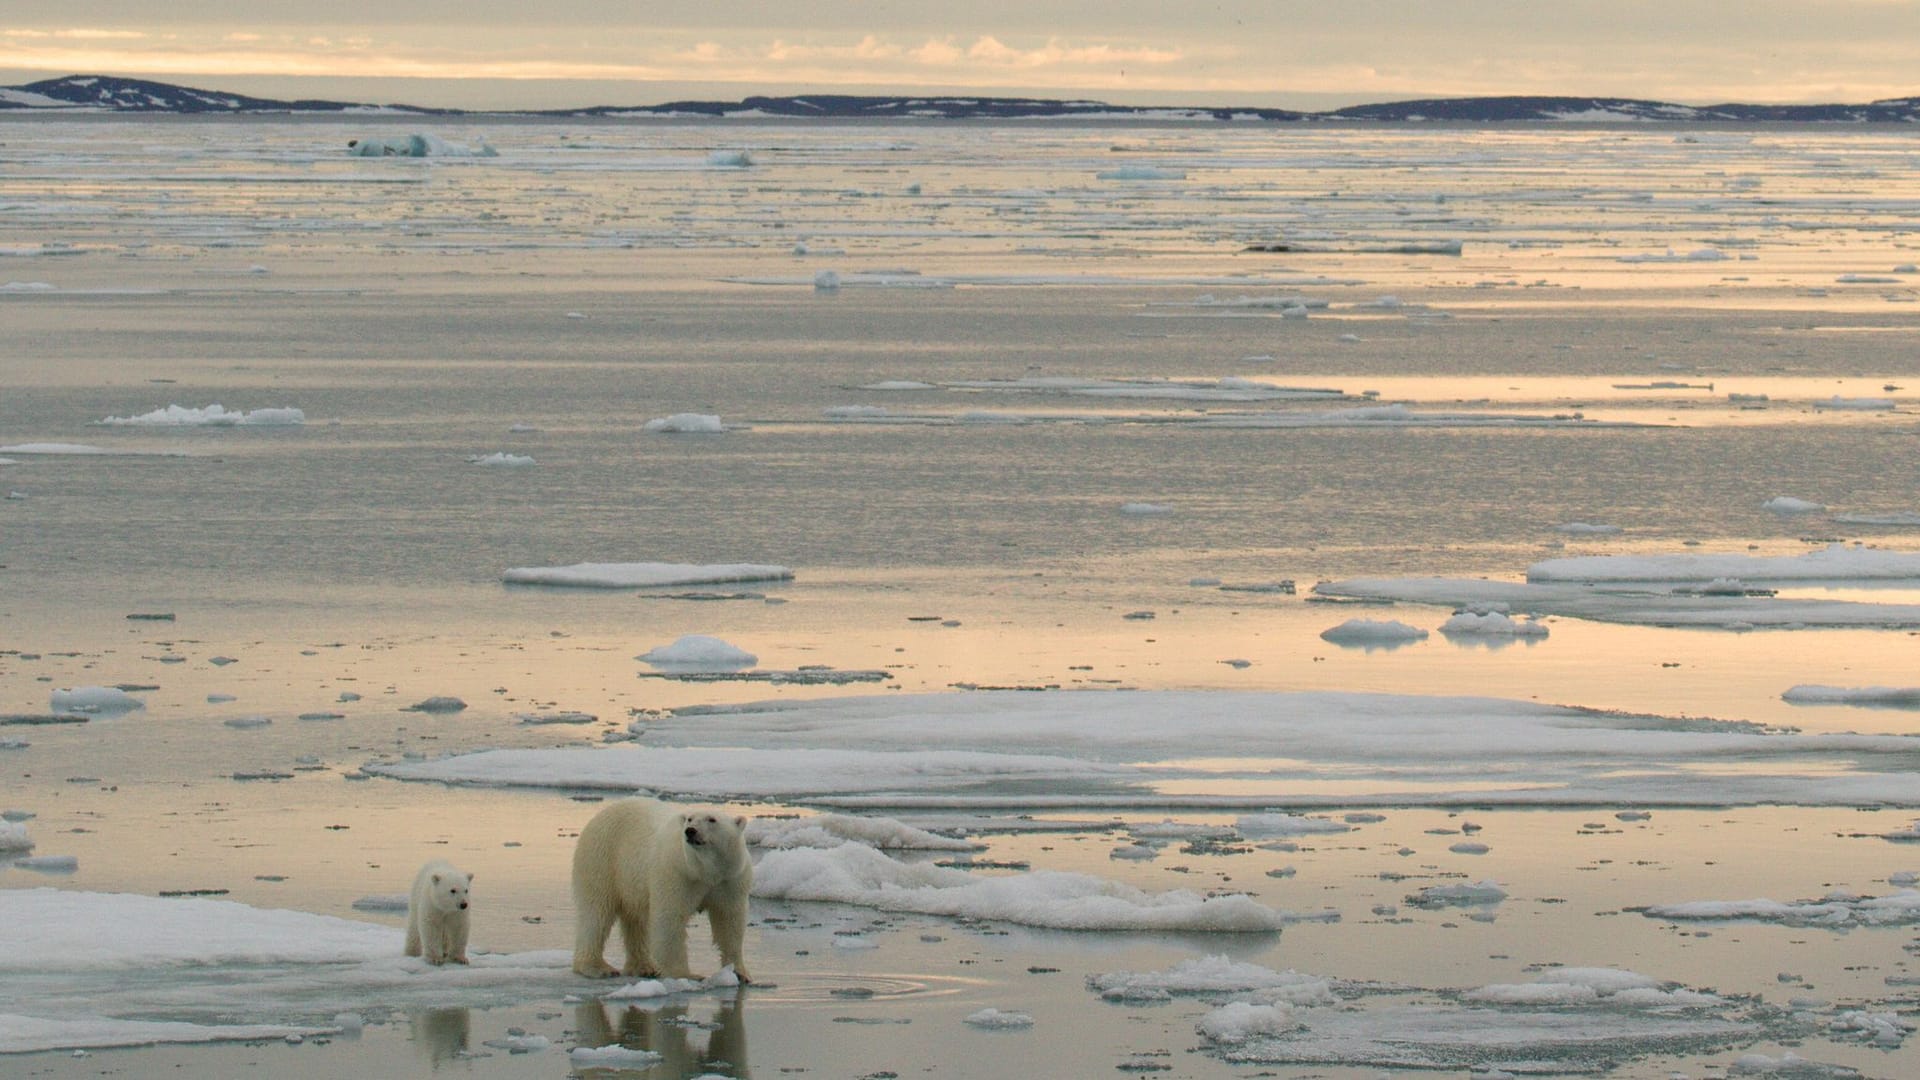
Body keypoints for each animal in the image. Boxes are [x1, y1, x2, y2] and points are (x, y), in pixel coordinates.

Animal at [568, 795, 748, 980]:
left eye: (712, 819)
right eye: (690, 819)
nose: (690, 831)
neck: (704, 871)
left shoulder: (730, 879)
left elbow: (729, 921)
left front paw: (739, 973)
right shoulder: (677, 874)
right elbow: (669, 919)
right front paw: (685, 974)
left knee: (635, 920)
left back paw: (644, 967)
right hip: (602, 858)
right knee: (597, 912)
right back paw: (598, 967)